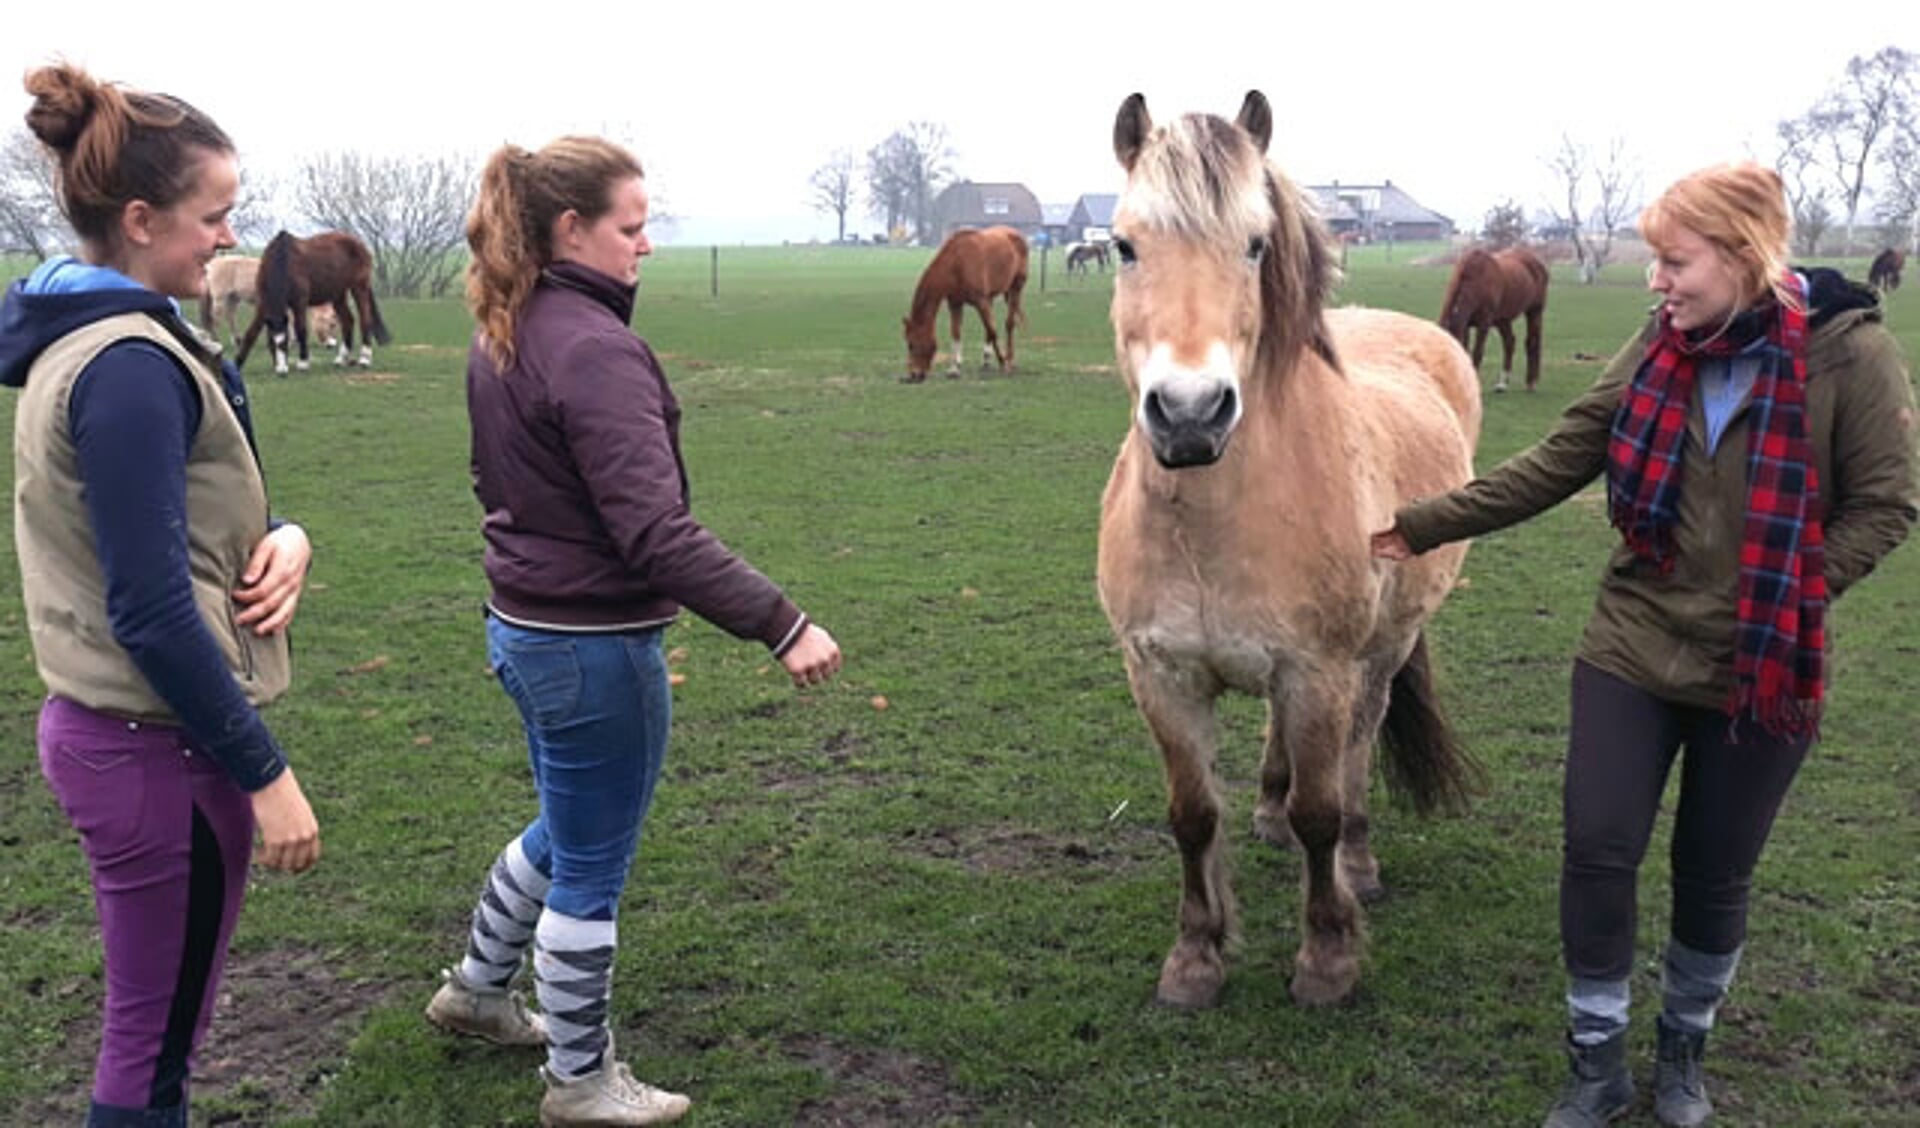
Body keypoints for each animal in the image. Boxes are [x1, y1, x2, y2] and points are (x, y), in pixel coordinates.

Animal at [236, 229, 389, 374]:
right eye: (272, 344)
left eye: (286, 343)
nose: (282, 372)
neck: (283, 260)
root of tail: (359, 243)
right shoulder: (263, 305)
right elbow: (251, 333)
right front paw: (237, 364)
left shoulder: (299, 303)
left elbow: (301, 330)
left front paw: (303, 363)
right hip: (337, 294)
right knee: (348, 321)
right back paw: (340, 359)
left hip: (359, 288)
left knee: (365, 320)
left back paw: (364, 359)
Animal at [902, 227, 1029, 381]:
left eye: (911, 344)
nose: (914, 374)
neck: (957, 262)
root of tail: (1015, 233)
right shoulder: (955, 303)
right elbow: (956, 333)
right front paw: (954, 369)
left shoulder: (981, 301)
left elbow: (993, 332)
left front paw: (1003, 363)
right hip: (991, 298)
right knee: (989, 328)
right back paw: (986, 361)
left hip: (1016, 288)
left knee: (1008, 324)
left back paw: (1010, 360)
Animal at [1098, 88, 1482, 1005]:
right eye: (1125, 245)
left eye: (1255, 243)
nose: (1190, 414)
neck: (1210, 523)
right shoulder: (1161, 678)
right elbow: (1192, 816)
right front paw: (1195, 957)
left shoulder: (1318, 673)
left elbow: (1320, 812)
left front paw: (1328, 957)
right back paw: (1269, 810)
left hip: (1380, 653)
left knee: (1354, 755)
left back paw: (1361, 861)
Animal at [1436, 245, 1551, 391]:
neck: (1475, 281)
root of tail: (1537, 262)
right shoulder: (1466, 326)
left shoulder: (1484, 323)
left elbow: (1478, 352)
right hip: (1503, 320)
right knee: (1509, 342)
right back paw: (1502, 384)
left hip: (1534, 311)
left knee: (1532, 341)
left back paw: (1531, 382)